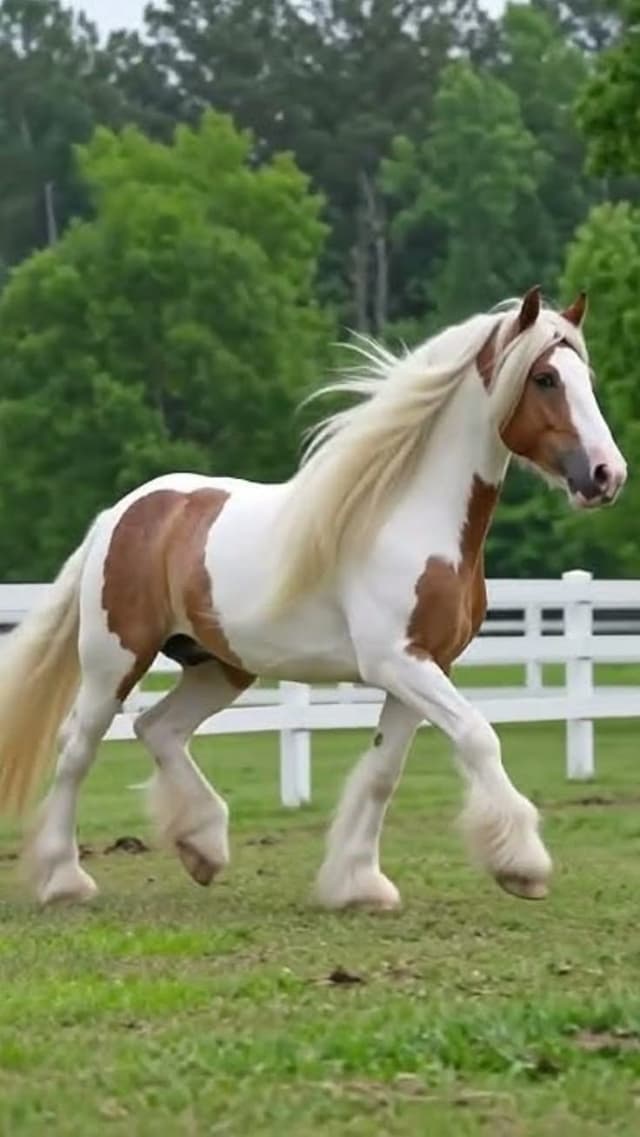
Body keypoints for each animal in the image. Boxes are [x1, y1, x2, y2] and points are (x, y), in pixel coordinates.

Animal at [0, 285, 626, 909]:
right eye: (545, 377)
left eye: (586, 376)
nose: (607, 475)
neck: (410, 516)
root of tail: (121, 512)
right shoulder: (398, 662)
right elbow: (478, 736)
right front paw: (522, 866)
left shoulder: (425, 665)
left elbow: (383, 772)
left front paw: (359, 884)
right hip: (115, 659)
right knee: (78, 747)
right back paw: (64, 880)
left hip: (219, 666)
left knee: (160, 728)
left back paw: (202, 847)